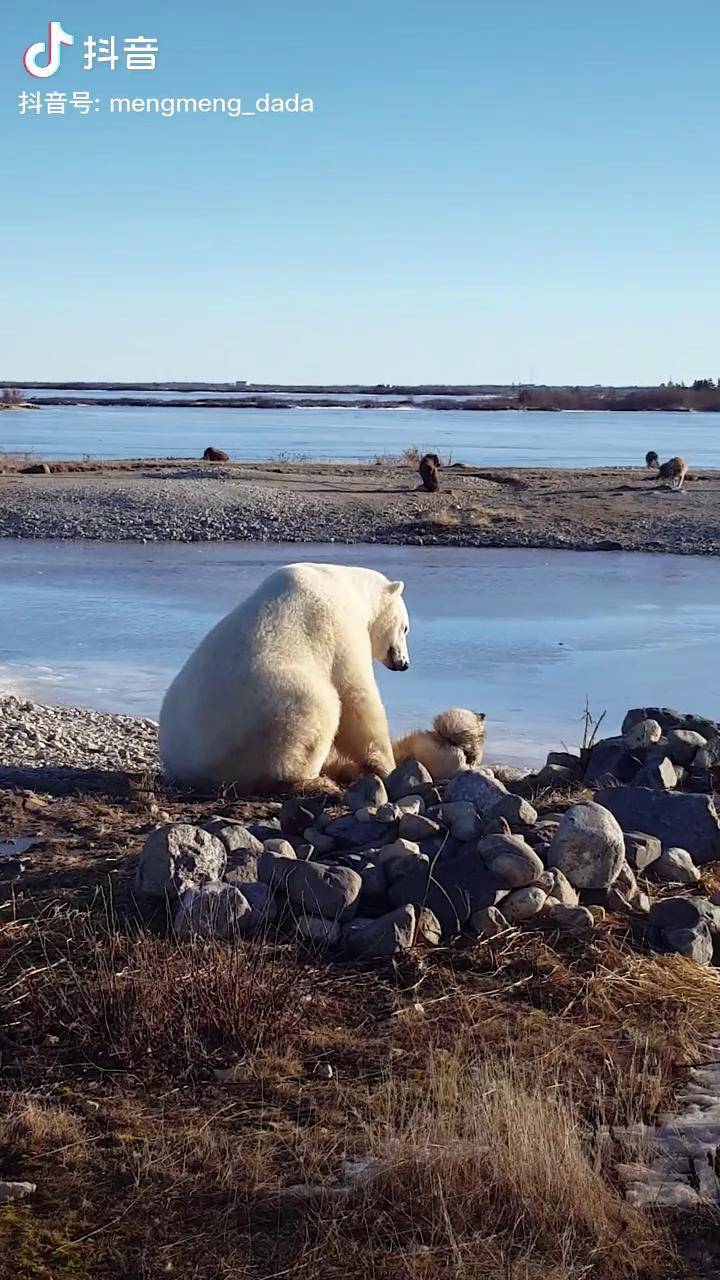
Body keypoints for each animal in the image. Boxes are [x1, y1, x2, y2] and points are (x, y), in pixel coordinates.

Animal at [160, 563, 409, 788]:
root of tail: (185, 767)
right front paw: (388, 765)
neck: (350, 587)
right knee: (319, 707)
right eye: (406, 628)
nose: (404, 663)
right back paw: (313, 775)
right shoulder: (340, 628)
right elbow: (356, 695)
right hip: (265, 714)